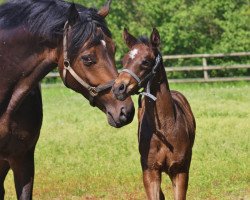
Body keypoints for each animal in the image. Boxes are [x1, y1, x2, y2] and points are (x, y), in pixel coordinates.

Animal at [112, 28, 196, 200]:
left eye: (145, 61)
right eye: (124, 60)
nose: (118, 88)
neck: (165, 129)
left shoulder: (180, 170)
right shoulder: (150, 171)